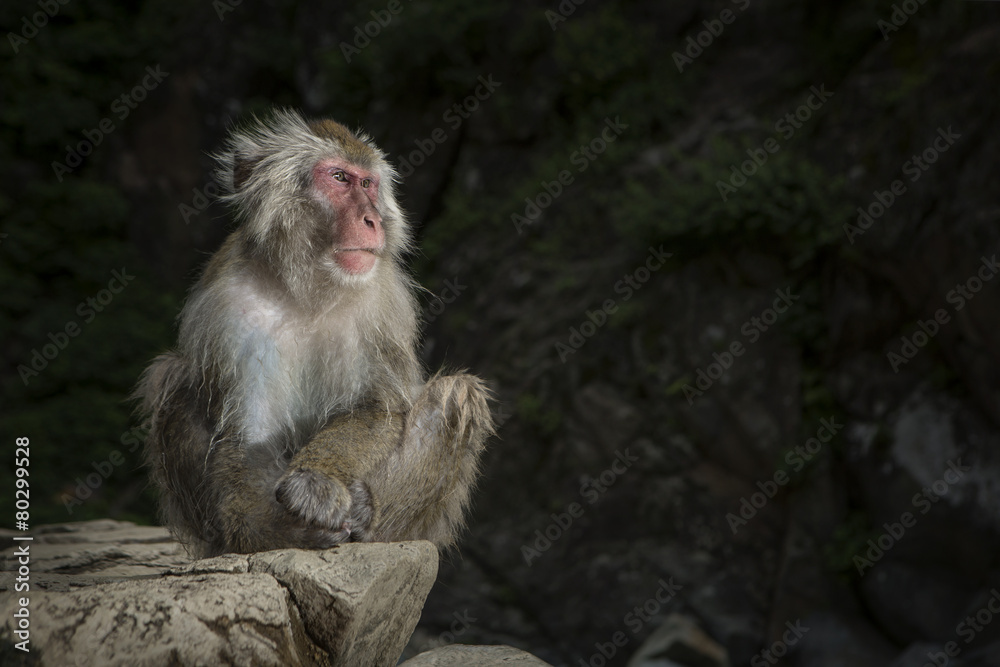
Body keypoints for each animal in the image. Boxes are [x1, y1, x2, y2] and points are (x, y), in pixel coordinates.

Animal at [135, 109, 493, 558]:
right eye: (338, 178)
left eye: (367, 184)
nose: (372, 219)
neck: (308, 288)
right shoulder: (228, 306)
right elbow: (248, 435)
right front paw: (270, 531)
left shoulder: (384, 303)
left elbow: (378, 409)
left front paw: (316, 480)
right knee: (174, 377)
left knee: (456, 395)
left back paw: (368, 515)